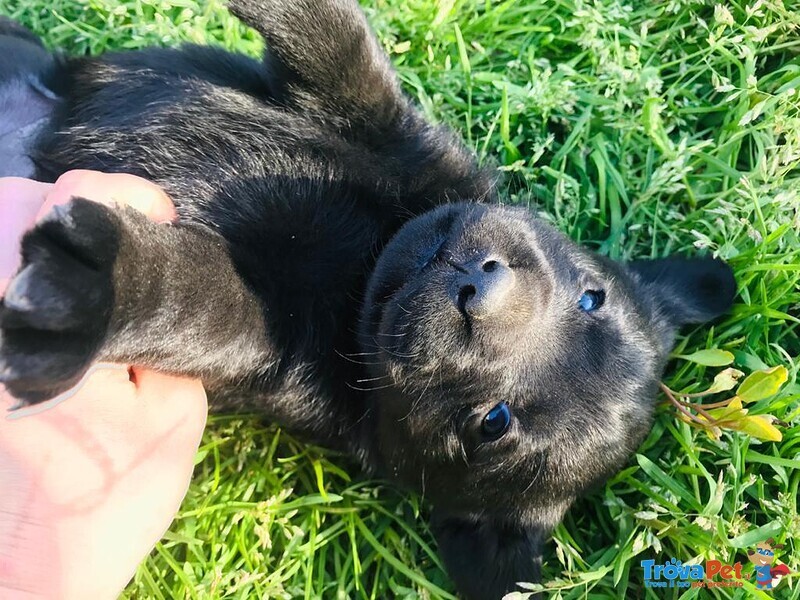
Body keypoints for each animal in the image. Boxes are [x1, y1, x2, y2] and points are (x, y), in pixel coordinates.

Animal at [0, 2, 736, 596]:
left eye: (494, 424)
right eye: (591, 298)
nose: (484, 289)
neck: (364, 268)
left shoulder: (260, 341)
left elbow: (192, 301)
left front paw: (97, 288)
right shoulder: (402, 139)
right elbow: (344, 53)